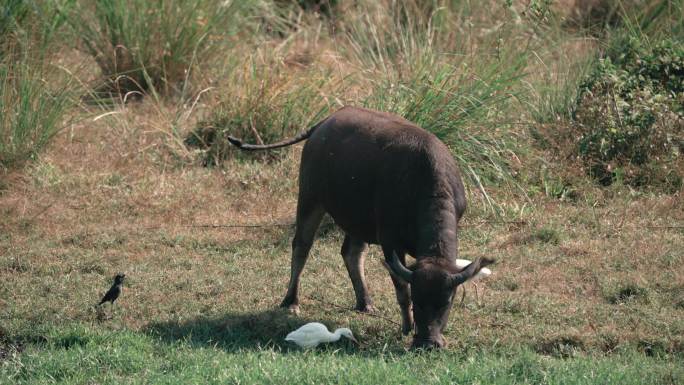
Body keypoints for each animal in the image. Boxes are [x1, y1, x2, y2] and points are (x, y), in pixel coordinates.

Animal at [228, 106, 492, 348]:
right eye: (418, 300)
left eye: (446, 302)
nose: (428, 342)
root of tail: (324, 122)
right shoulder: (389, 240)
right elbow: (401, 289)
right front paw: (406, 327)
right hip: (310, 199)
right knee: (301, 246)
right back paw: (291, 301)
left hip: (357, 219)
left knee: (351, 253)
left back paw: (365, 302)